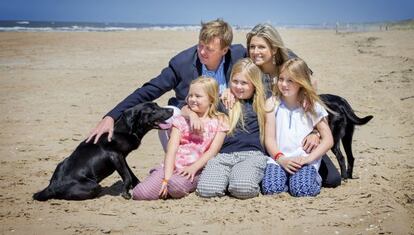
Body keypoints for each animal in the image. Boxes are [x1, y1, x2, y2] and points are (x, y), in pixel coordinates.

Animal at [32, 102, 173, 201]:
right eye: (153, 110)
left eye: (157, 105)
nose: (171, 109)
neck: (124, 131)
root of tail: (51, 186)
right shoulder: (115, 156)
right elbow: (127, 176)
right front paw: (126, 193)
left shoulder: (122, 158)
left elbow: (131, 174)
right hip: (94, 185)